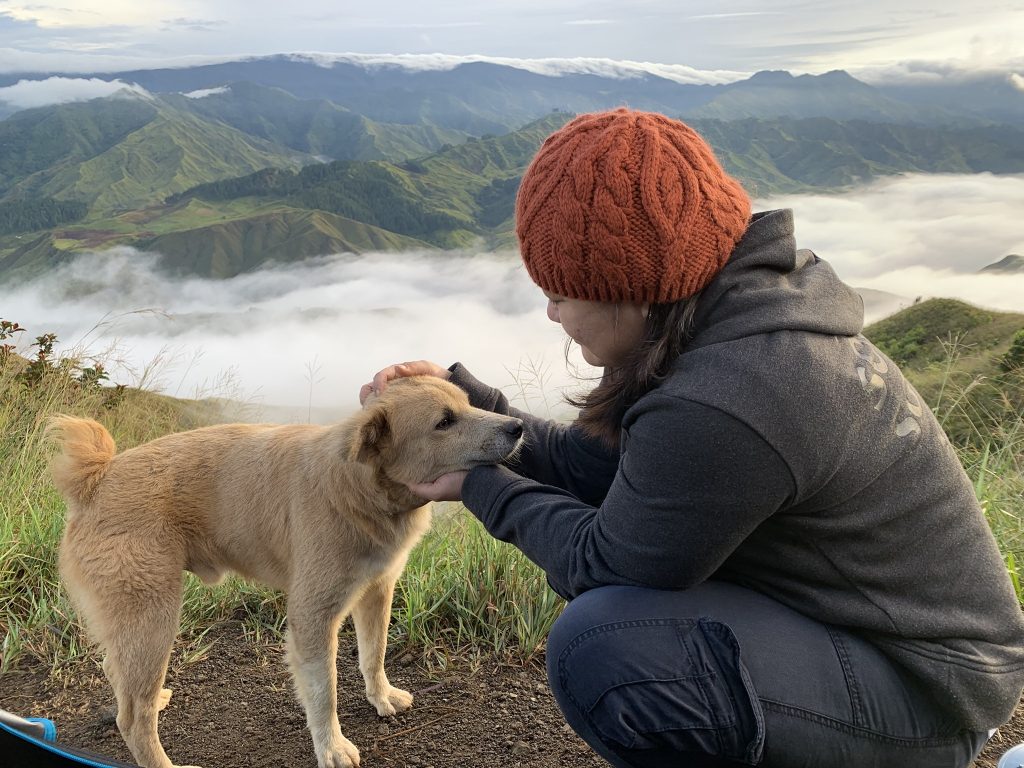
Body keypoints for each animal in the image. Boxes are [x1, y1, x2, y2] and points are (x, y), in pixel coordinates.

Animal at [48, 376, 524, 768]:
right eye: (444, 421)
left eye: (468, 403)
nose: (518, 426)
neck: (356, 487)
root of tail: (97, 479)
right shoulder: (312, 616)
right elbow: (324, 691)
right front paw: (331, 747)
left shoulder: (377, 591)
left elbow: (373, 655)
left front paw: (381, 696)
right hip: (153, 617)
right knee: (132, 718)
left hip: (133, 625)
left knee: (120, 677)